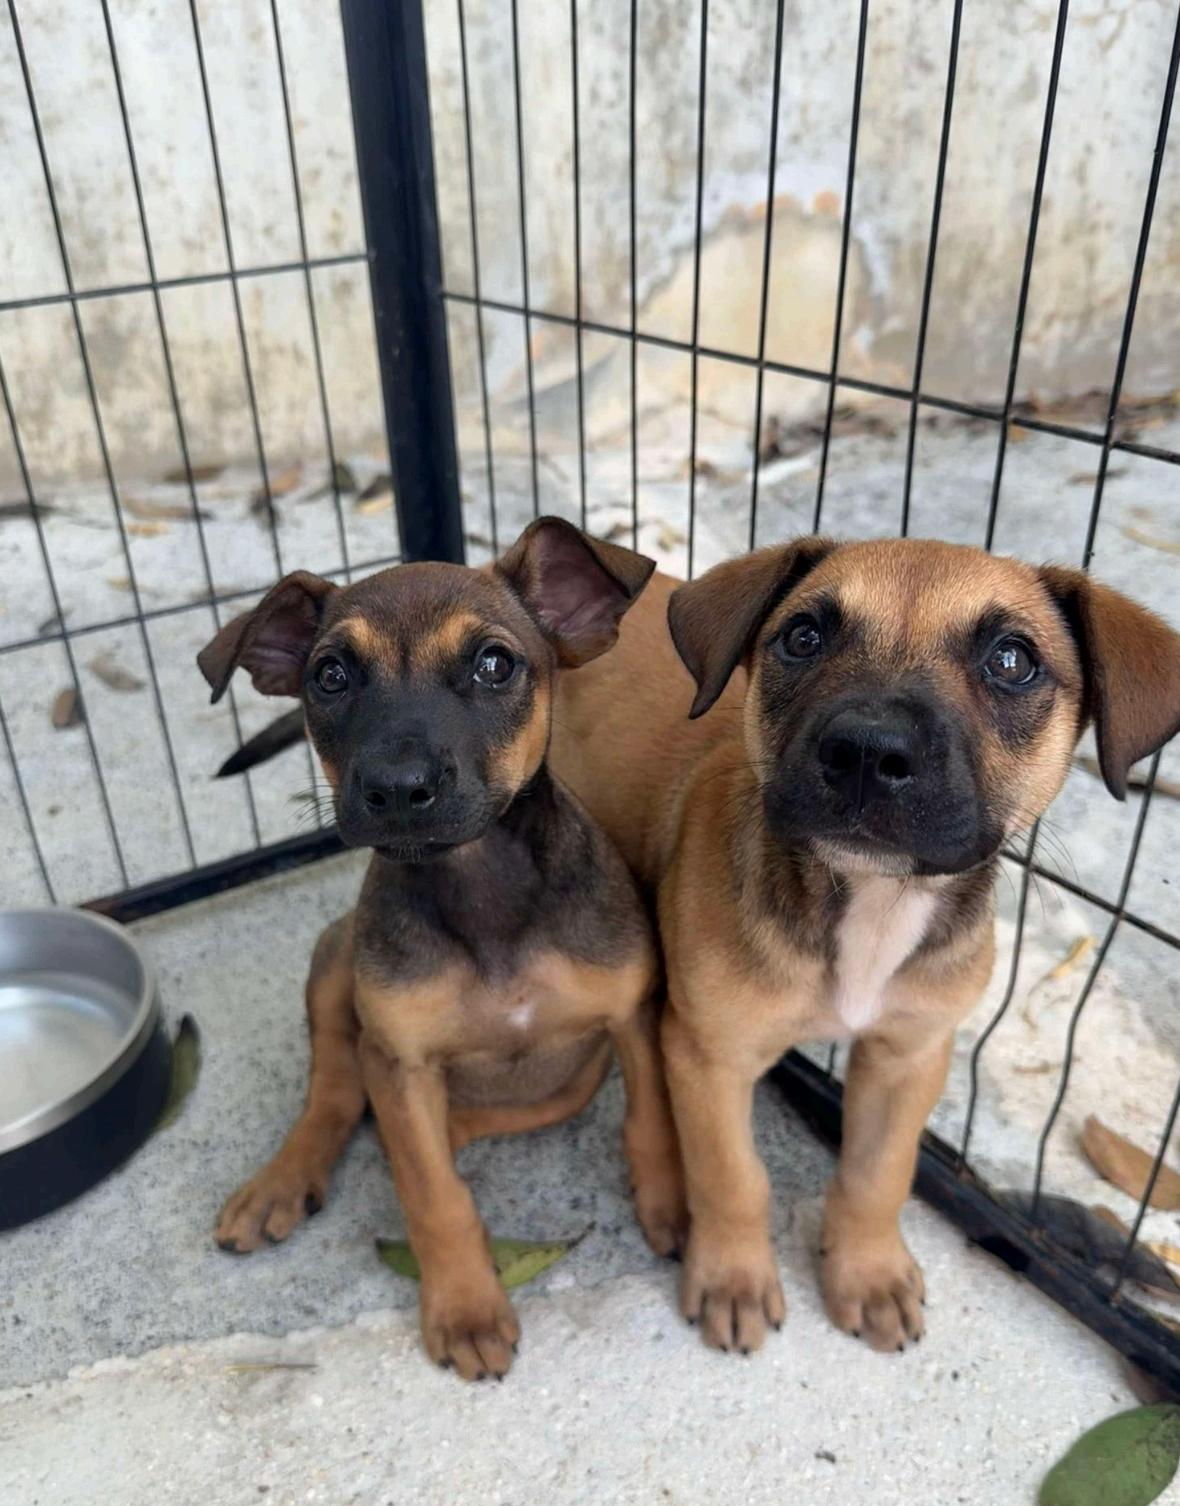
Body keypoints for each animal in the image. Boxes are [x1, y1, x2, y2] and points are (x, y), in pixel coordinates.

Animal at [196, 517, 685, 1381]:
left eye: (495, 663)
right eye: (329, 676)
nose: (396, 788)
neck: (482, 892)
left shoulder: (632, 1016)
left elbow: (651, 1120)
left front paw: (669, 1212)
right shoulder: (402, 1057)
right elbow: (435, 1197)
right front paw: (465, 1308)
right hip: (335, 958)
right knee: (337, 1086)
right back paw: (282, 1180)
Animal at [547, 536, 1180, 1356]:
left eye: (1012, 661)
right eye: (802, 637)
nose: (867, 752)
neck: (872, 904)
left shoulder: (909, 1055)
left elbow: (879, 1174)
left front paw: (869, 1274)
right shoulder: (710, 1057)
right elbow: (731, 1177)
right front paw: (732, 1280)